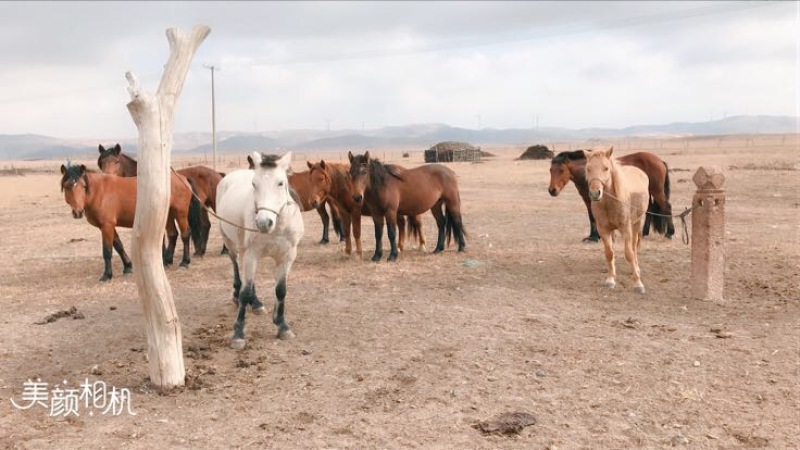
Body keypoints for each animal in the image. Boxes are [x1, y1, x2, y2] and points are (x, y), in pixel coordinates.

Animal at [60, 162, 198, 281]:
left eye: (83, 186)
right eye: (66, 187)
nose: (78, 212)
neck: (100, 192)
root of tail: (182, 178)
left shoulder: (107, 225)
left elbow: (107, 251)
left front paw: (107, 275)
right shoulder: (108, 226)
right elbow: (118, 245)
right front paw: (128, 267)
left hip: (180, 213)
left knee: (185, 234)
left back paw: (184, 262)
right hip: (167, 215)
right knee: (173, 235)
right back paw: (167, 261)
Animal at [216, 151, 304, 350]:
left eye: (280, 183)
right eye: (254, 184)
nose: (264, 223)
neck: (277, 228)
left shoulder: (287, 257)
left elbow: (281, 290)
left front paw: (282, 326)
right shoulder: (252, 255)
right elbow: (245, 292)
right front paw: (238, 334)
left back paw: (256, 304)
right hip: (231, 243)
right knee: (237, 268)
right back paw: (241, 296)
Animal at [584, 146, 649, 293]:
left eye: (606, 168)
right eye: (588, 168)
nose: (595, 193)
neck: (610, 203)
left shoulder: (626, 229)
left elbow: (629, 254)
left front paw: (638, 283)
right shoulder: (603, 230)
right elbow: (609, 253)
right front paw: (610, 280)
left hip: (637, 223)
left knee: (634, 246)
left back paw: (636, 268)